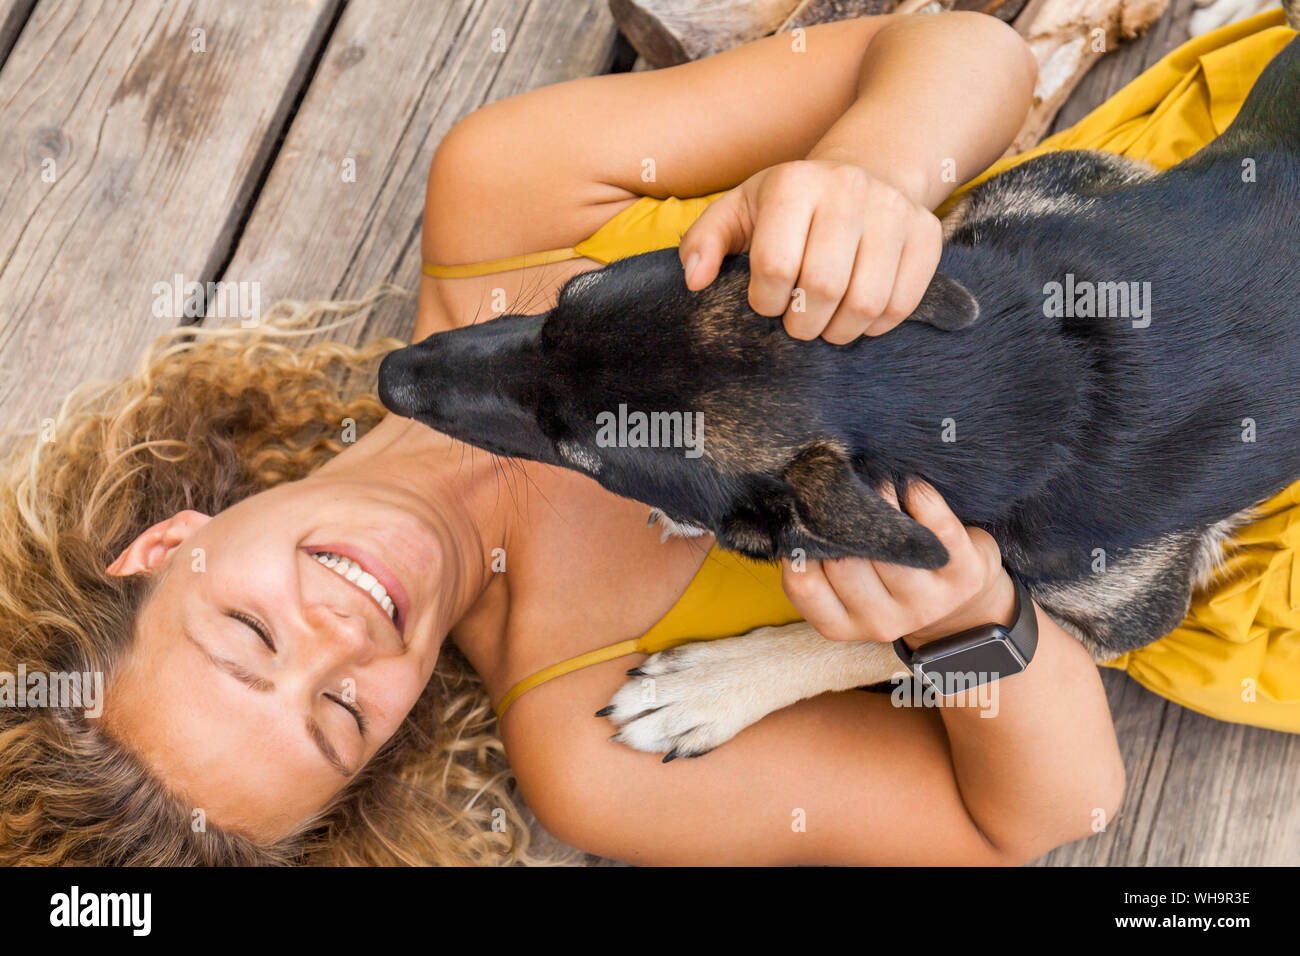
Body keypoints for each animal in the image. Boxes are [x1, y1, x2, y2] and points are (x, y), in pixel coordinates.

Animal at [382, 16, 1300, 754]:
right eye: (563, 300)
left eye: (580, 449)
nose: (393, 376)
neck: (1043, 374)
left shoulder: (1122, 619)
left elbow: (874, 633)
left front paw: (712, 688)